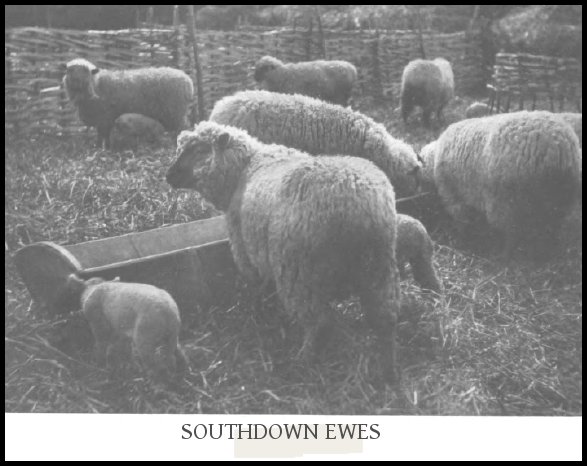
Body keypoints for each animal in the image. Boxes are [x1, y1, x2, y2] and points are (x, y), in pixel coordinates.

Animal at [62, 58, 194, 148]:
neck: (96, 85)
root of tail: (188, 81)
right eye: (70, 70)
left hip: (176, 113)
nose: (76, 81)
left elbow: (103, 136)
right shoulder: (104, 120)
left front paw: (102, 149)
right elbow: (103, 136)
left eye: (86, 71)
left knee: (182, 129)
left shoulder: (104, 118)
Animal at [166, 121, 402, 382]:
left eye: (199, 150)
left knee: (320, 323)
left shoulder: (246, 252)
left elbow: (258, 287)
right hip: (378, 266)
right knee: (385, 319)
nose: (168, 176)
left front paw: (260, 313)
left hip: (298, 272)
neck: (245, 167)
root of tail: (356, 207)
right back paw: (388, 373)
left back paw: (303, 362)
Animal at [420, 111, 582, 260]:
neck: (433, 162)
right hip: (558, 202)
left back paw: (503, 256)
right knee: (553, 227)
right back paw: (548, 251)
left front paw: (463, 241)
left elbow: (463, 222)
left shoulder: (454, 197)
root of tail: (559, 149)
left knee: (511, 233)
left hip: (508, 202)